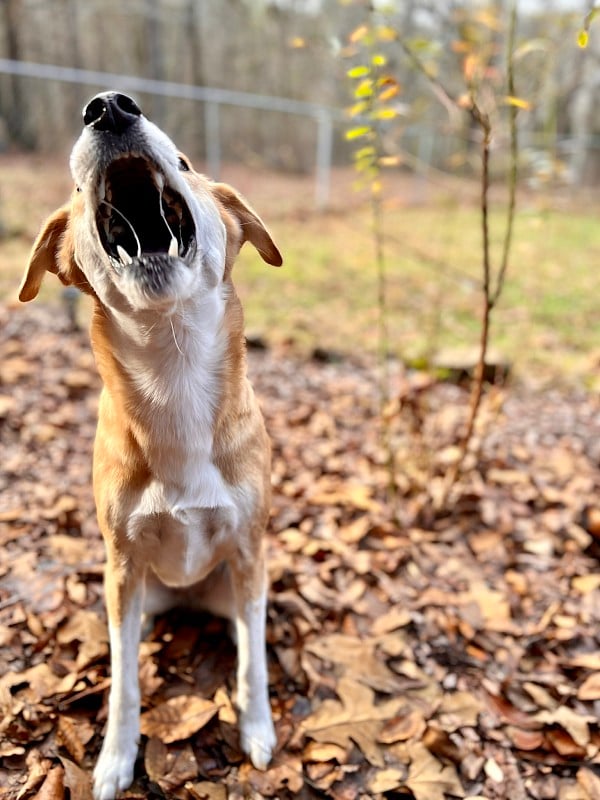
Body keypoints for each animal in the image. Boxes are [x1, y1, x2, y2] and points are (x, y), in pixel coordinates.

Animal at [18, 94, 282, 800]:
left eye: (186, 163)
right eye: (75, 191)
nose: (108, 107)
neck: (176, 372)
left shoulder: (249, 554)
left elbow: (253, 665)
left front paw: (257, 729)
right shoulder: (123, 571)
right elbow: (125, 684)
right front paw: (116, 757)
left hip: (241, 583)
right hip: (136, 594)